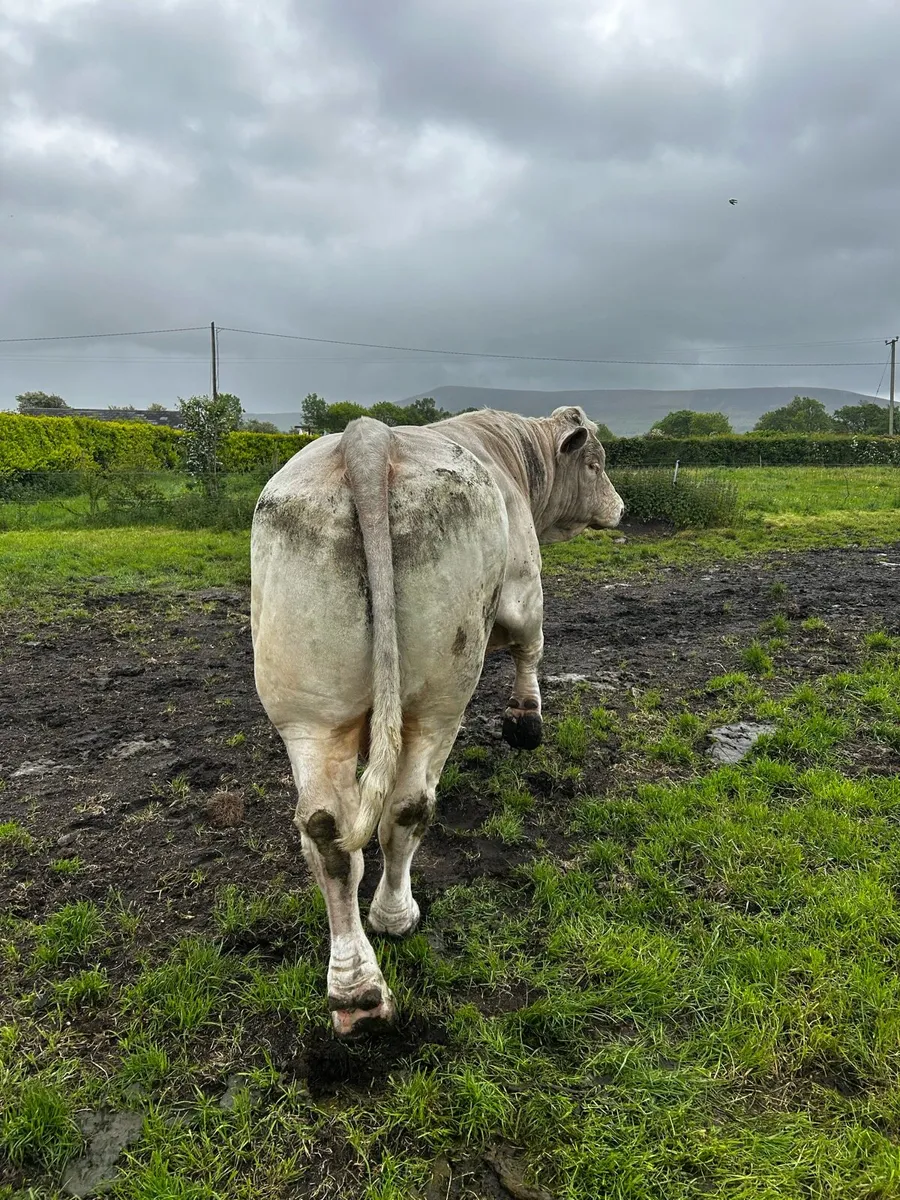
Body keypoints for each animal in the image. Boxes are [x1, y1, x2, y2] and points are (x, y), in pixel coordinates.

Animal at [250, 406, 624, 1036]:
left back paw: (355, 988)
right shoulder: (524, 587)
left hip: (308, 713)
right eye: (595, 463)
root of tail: (367, 436)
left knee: (328, 835)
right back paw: (395, 917)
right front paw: (525, 721)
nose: (620, 507)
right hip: (440, 698)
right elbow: (530, 649)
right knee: (407, 808)